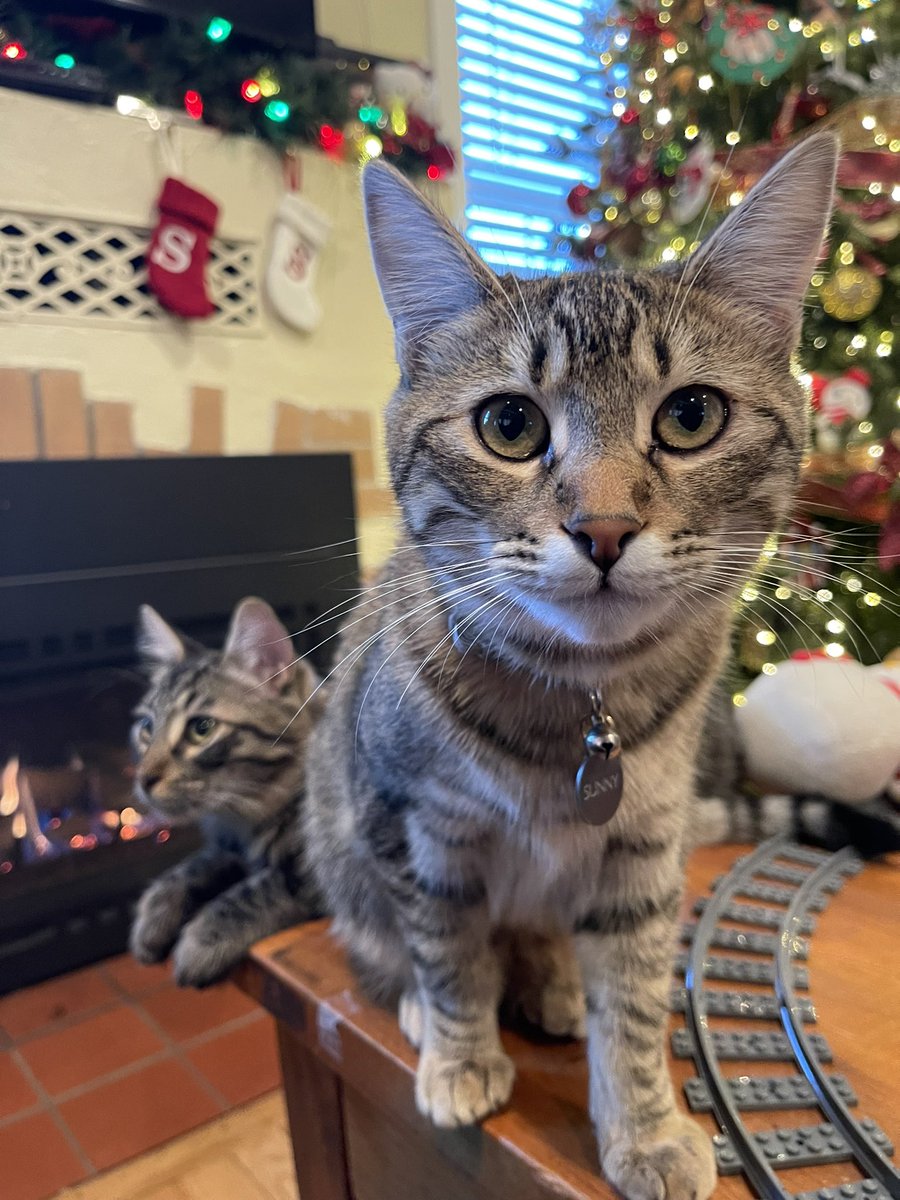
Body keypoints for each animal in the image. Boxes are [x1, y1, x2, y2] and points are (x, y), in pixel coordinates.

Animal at [127, 597, 324, 984]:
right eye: (146, 727)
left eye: (201, 728)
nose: (143, 778)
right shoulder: (225, 846)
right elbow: (188, 869)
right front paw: (154, 913)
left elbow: (260, 890)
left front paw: (203, 938)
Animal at [300, 131, 844, 1200]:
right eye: (509, 425)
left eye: (691, 415)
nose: (603, 528)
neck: (578, 713)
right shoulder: (415, 829)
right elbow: (447, 953)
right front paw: (461, 1053)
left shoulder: (643, 849)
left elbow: (632, 1002)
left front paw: (645, 1125)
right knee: (386, 943)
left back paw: (553, 984)